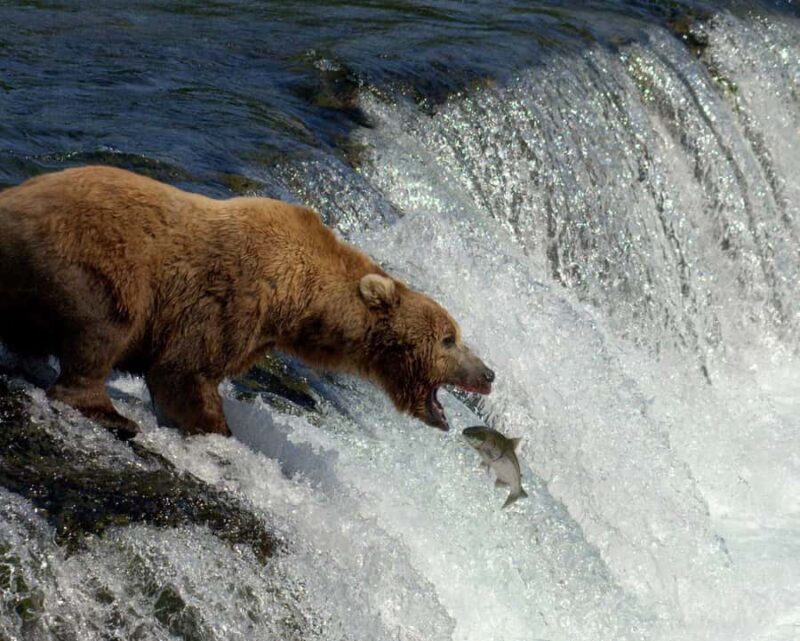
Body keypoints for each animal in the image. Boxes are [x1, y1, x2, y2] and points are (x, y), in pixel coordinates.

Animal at [0, 166, 494, 439]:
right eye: (448, 339)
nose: (488, 373)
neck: (301, 302)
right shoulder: (233, 297)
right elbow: (183, 372)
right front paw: (216, 428)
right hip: (88, 260)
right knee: (103, 327)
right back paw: (109, 413)